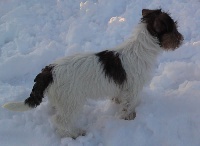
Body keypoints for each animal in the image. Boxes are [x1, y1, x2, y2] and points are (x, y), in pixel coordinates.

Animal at [2, 8, 183, 139]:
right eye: (173, 28)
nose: (181, 39)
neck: (141, 48)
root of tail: (49, 71)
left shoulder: (123, 89)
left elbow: (120, 98)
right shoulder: (133, 89)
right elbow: (128, 105)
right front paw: (129, 117)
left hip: (62, 100)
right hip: (72, 102)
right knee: (60, 121)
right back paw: (74, 134)